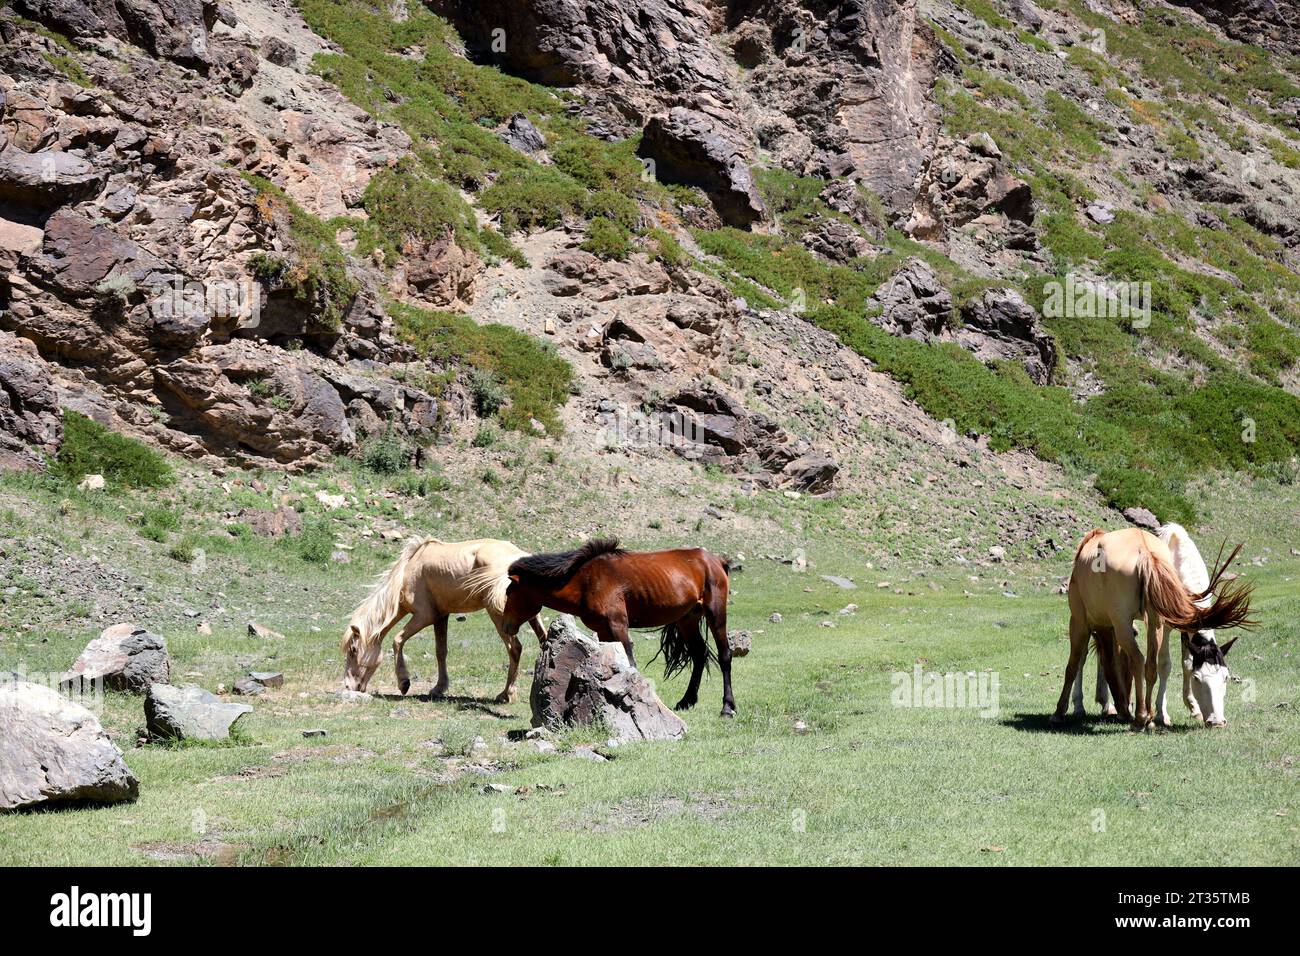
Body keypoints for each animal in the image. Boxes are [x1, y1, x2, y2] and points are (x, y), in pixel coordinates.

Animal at [342, 537, 546, 702]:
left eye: (353, 650)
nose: (348, 686)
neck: (408, 572)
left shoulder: (424, 616)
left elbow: (397, 640)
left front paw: (404, 682)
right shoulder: (441, 617)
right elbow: (441, 651)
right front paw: (439, 687)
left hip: (499, 616)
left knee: (515, 648)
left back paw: (507, 694)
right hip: (529, 614)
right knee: (543, 639)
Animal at [498, 538, 738, 717]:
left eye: (510, 592)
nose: (506, 626)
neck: (586, 581)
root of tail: (716, 560)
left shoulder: (618, 627)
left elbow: (630, 664)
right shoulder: (604, 631)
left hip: (716, 614)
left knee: (725, 656)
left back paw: (727, 707)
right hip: (687, 620)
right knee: (699, 655)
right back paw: (686, 701)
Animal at [1051, 527, 1253, 729]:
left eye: (1225, 677)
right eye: (1198, 678)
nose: (1217, 722)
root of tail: (1145, 552)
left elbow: (1184, 664)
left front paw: (1190, 707)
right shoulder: (1165, 627)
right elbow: (1165, 665)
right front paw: (1162, 714)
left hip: (1120, 624)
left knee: (1132, 660)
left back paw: (1131, 712)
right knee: (1112, 659)